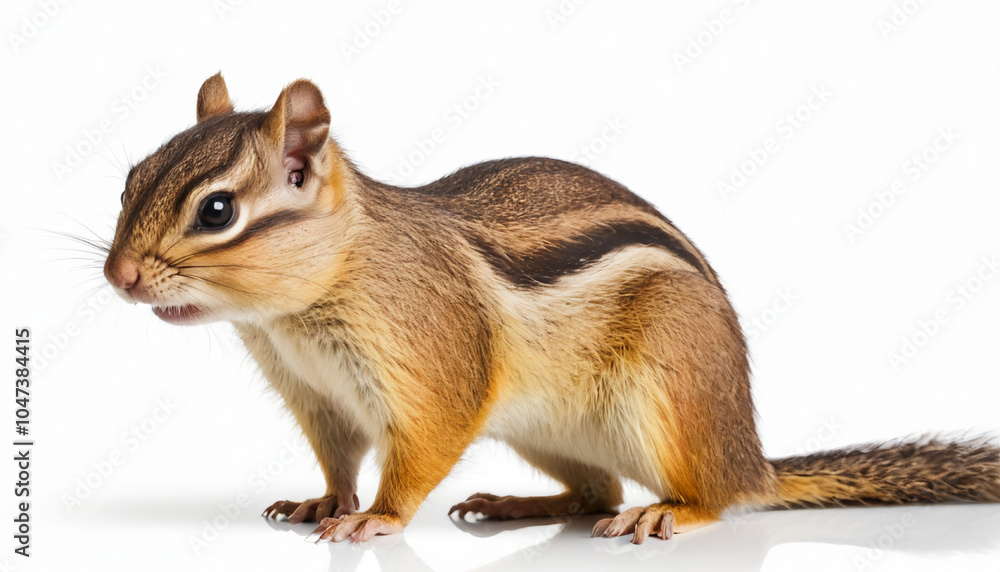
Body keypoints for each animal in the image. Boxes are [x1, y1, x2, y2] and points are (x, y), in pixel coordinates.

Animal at [103, 73, 1000, 544]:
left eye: (217, 211)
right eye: (130, 178)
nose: (118, 276)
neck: (299, 313)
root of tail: (752, 454)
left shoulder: (431, 369)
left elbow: (419, 449)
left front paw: (378, 519)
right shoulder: (317, 395)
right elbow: (338, 457)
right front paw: (323, 501)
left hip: (668, 394)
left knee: (708, 497)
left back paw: (667, 511)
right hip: (545, 430)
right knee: (594, 490)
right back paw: (517, 504)